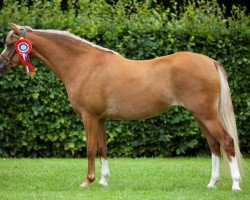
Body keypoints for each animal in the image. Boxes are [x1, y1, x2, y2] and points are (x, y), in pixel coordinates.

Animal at [0, 24, 242, 191]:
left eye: (10, 44)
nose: (1, 66)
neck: (84, 65)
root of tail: (210, 61)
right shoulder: (100, 118)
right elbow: (103, 148)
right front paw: (103, 181)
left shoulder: (89, 117)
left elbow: (90, 148)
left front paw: (87, 182)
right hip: (200, 116)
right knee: (214, 146)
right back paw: (211, 184)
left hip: (207, 115)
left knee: (227, 142)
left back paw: (236, 185)